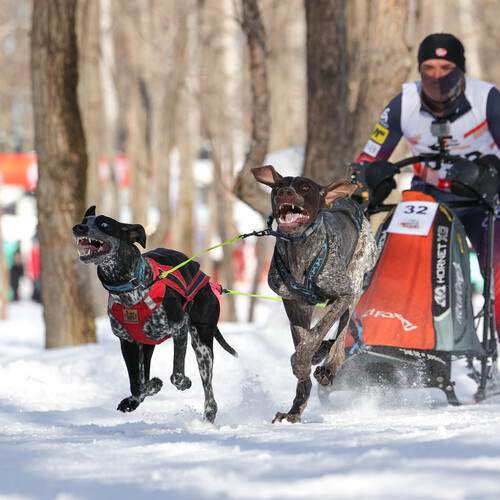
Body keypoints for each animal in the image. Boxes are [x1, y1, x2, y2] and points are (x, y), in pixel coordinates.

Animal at [72, 206, 237, 423]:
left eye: (104, 224)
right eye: (85, 220)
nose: (78, 227)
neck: (130, 288)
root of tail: (206, 279)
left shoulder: (180, 328)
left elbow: (176, 375)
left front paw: (181, 382)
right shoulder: (128, 343)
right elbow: (137, 383)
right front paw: (143, 392)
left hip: (202, 345)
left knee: (208, 388)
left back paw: (209, 413)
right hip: (148, 345)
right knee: (143, 376)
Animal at [252, 165, 377, 423]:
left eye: (305, 187)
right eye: (279, 186)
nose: (286, 193)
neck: (299, 250)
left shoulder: (342, 294)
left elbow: (317, 333)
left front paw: (304, 360)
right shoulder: (294, 304)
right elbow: (304, 339)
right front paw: (296, 406)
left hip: (355, 282)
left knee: (342, 334)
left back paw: (329, 365)